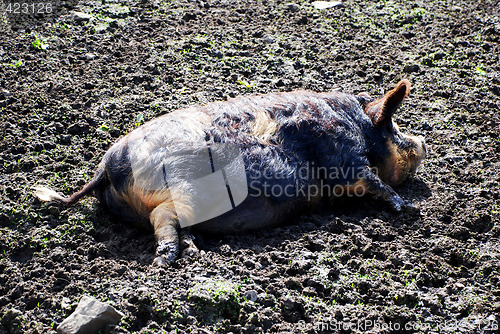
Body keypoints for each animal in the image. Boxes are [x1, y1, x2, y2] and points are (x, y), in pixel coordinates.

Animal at [33, 79, 426, 266]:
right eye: (393, 127)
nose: (423, 143)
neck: (358, 126)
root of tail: (107, 168)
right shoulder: (341, 155)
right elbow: (373, 181)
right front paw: (409, 209)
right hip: (184, 189)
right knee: (162, 218)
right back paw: (167, 260)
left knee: (171, 222)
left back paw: (192, 251)